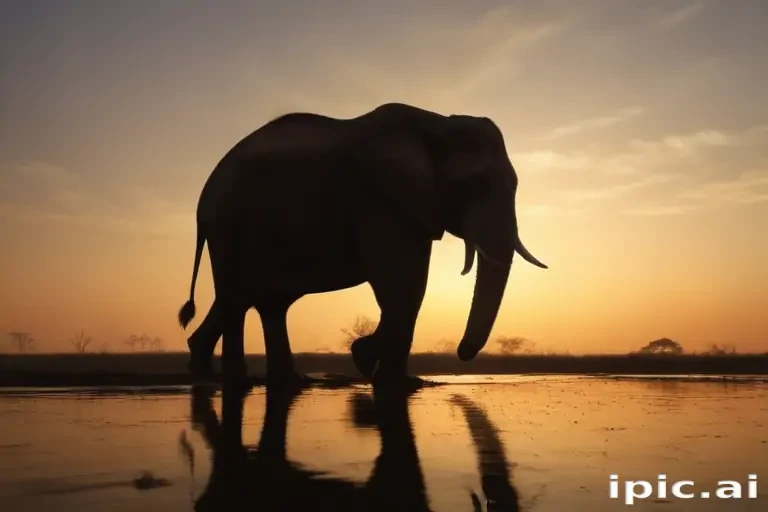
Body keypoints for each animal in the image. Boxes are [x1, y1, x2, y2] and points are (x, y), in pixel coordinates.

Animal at [176, 102, 548, 387]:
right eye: (476, 185)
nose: (461, 352)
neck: (436, 124)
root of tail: (202, 201)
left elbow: (410, 282)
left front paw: (378, 368)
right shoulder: (376, 199)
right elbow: (403, 283)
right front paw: (387, 374)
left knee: (261, 301)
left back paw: (277, 380)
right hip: (231, 226)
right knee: (239, 294)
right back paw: (231, 381)